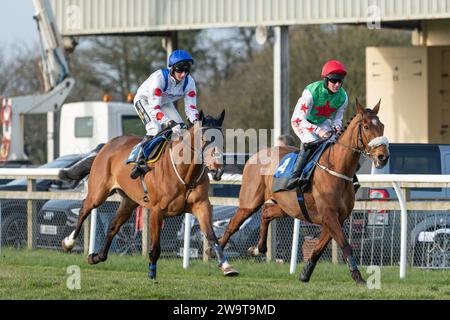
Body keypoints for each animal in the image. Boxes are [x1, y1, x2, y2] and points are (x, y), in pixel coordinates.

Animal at [61, 110, 241, 280]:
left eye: (222, 139)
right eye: (203, 139)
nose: (217, 170)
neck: (185, 172)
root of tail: (107, 145)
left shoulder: (201, 206)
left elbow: (212, 237)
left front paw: (226, 267)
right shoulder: (156, 211)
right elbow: (155, 248)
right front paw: (151, 274)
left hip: (129, 201)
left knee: (113, 225)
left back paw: (96, 256)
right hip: (98, 193)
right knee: (84, 209)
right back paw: (69, 242)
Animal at [217, 100, 386, 284]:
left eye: (382, 126)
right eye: (366, 126)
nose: (383, 156)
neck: (336, 168)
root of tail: (254, 156)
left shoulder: (337, 218)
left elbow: (319, 248)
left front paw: (305, 273)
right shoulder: (329, 215)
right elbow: (345, 245)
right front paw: (358, 276)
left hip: (287, 206)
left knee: (267, 212)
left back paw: (258, 249)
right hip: (249, 203)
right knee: (232, 225)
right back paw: (218, 257)